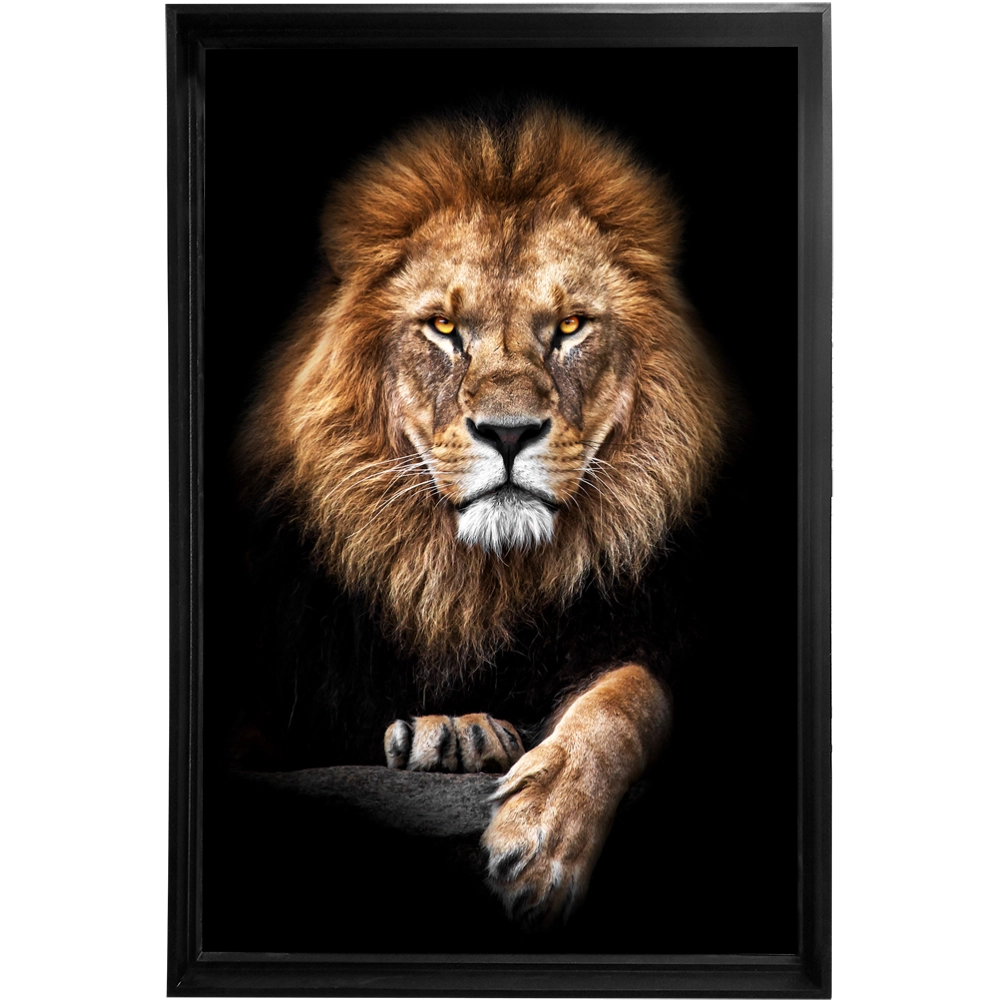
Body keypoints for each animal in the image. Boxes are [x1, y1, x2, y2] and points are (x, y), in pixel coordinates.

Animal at [233, 103, 730, 930]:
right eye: (442, 329)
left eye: (570, 327)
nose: (507, 431)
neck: (478, 580)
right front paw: (454, 733)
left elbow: (629, 696)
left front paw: (545, 837)